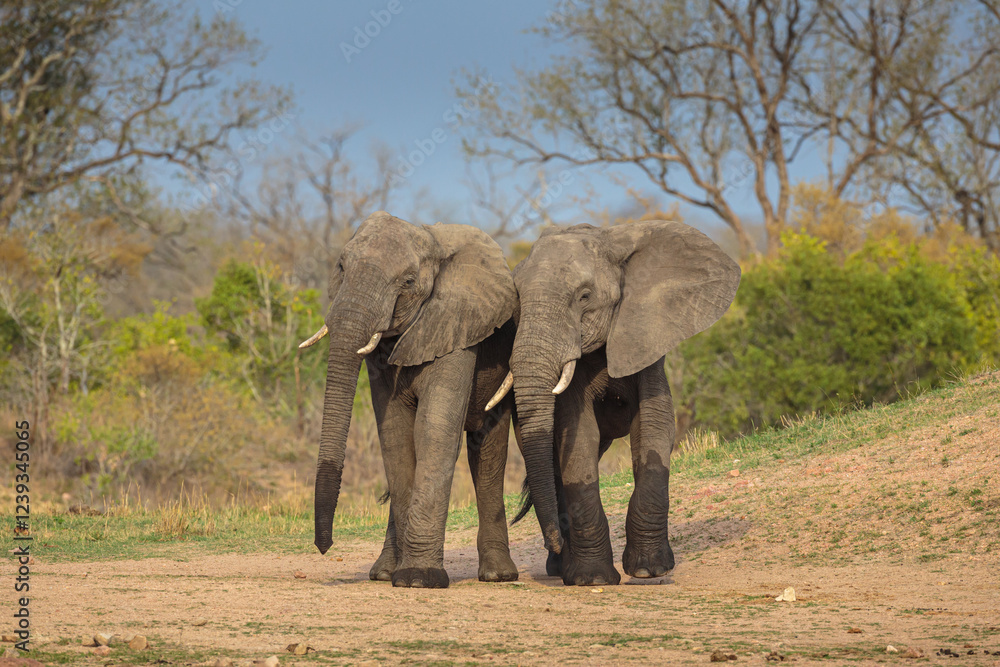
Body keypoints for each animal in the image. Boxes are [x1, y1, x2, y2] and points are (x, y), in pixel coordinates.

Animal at [298, 211, 520, 588]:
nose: (325, 547)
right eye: (341, 266)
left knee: (489, 455)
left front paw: (419, 578)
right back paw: (383, 572)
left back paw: (498, 576)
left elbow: (433, 430)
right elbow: (395, 435)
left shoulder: (455, 327)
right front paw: (404, 575)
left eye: (408, 281)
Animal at [493, 220, 740, 586]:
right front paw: (592, 579)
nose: (554, 540)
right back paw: (563, 567)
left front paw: (650, 570)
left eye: (584, 297)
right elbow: (578, 436)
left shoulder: (647, 337)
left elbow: (655, 425)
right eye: (518, 301)